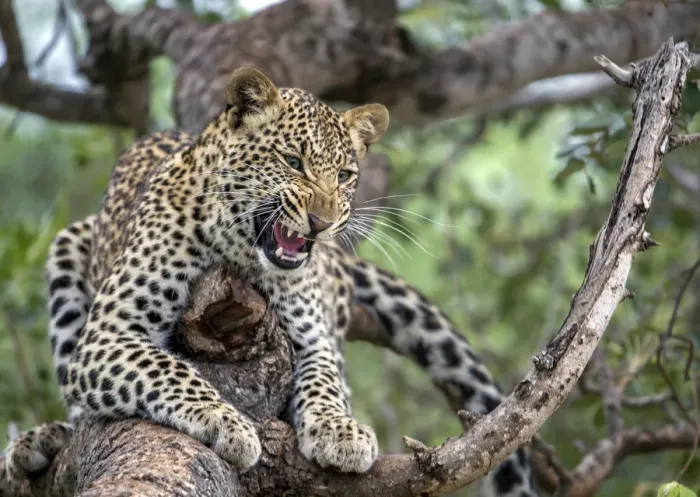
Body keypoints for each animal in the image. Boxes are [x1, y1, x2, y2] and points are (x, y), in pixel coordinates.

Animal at [4, 68, 537, 497]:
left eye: (346, 174)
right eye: (292, 161)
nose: (323, 222)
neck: (241, 253)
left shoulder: (313, 337)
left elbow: (323, 382)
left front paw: (340, 432)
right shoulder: (108, 334)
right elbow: (167, 370)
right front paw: (227, 423)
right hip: (69, 246)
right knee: (81, 411)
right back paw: (40, 439)